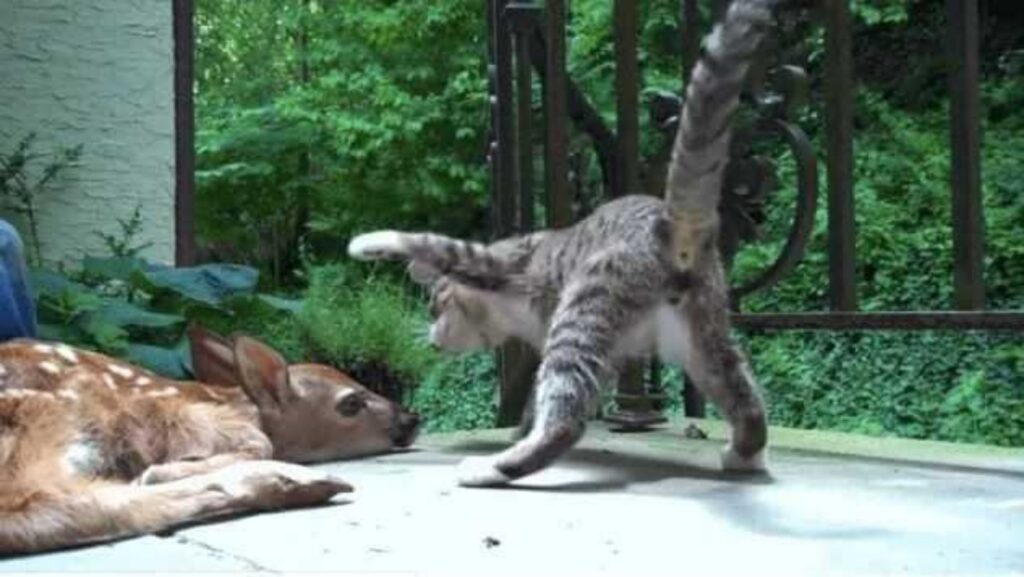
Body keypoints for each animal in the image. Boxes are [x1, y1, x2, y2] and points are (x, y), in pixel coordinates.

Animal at [350, 0, 774, 487]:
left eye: (435, 307)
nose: (433, 340)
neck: (507, 316)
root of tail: (670, 225)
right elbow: (533, 401)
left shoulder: (495, 262)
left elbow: (428, 242)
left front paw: (370, 241)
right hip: (700, 336)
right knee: (745, 396)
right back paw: (744, 454)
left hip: (585, 311)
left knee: (565, 423)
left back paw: (492, 467)